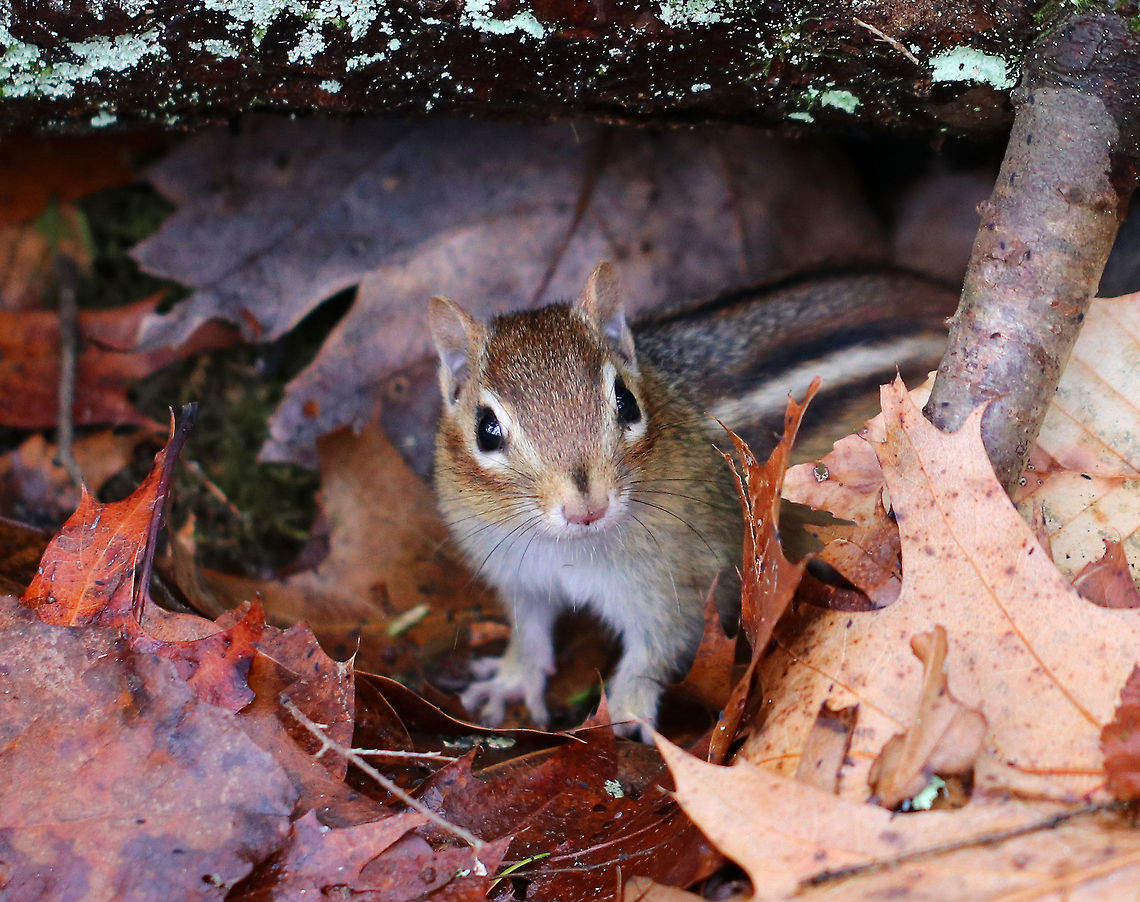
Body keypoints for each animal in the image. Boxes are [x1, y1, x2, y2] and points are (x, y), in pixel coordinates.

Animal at [428, 263, 957, 740]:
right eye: (487, 430)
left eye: (626, 401)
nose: (587, 509)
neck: (570, 552)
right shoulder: (522, 578)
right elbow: (529, 631)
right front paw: (512, 681)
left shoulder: (678, 581)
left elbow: (657, 649)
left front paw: (626, 711)